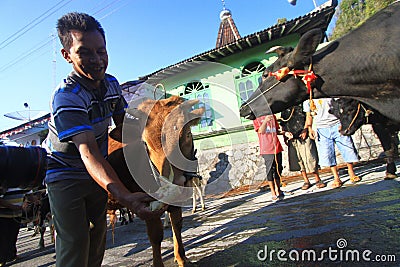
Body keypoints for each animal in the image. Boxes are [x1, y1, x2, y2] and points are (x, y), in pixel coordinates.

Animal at [108, 95, 205, 266]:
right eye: (145, 143)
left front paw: (181, 258)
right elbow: (156, 235)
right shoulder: (148, 206)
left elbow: (177, 225)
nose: (174, 184)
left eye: (187, 134)